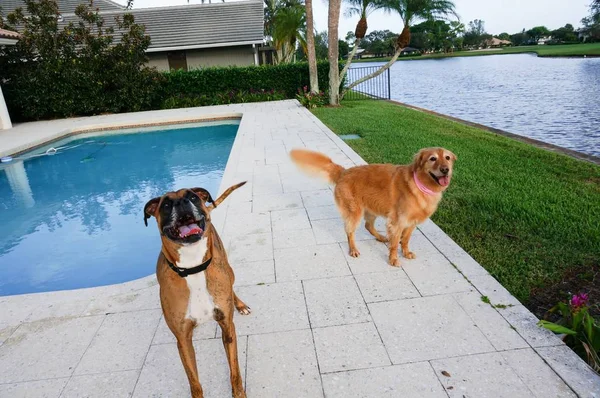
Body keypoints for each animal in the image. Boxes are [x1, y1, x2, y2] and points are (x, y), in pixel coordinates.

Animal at [143, 183, 248, 398]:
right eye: (166, 204)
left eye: (192, 197)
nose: (181, 202)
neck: (193, 267)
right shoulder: (183, 341)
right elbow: (194, 382)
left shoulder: (228, 328)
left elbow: (235, 372)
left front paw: (239, 393)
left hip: (229, 270)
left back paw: (240, 304)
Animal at [290, 148, 454, 266]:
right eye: (432, 158)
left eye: (447, 158)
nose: (445, 169)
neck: (420, 184)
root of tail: (344, 171)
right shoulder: (398, 221)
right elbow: (395, 243)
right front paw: (393, 259)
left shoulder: (411, 223)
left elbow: (405, 240)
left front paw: (406, 252)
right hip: (354, 211)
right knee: (349, 231)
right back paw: (353, 249)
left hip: (372, 208)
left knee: (368, 226)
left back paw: (381, 237)